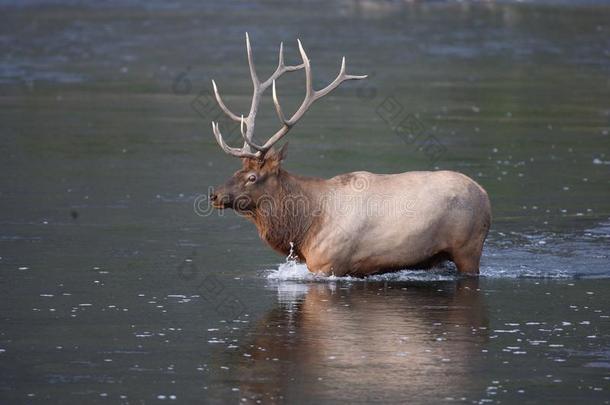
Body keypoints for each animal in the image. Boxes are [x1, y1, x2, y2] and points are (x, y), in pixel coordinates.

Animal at [208, 34, 490, 276]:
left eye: (252, 177)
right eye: (237, 170)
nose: (214, 195)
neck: (303, 229)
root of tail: (485, 194)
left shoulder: (329, 264)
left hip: (468, 248)